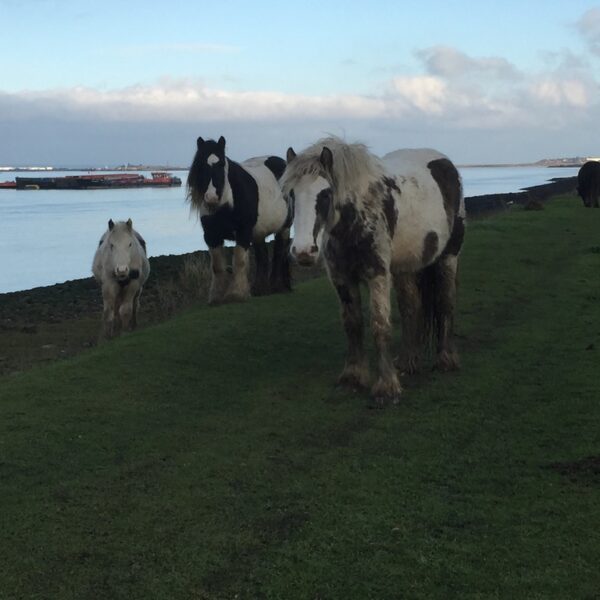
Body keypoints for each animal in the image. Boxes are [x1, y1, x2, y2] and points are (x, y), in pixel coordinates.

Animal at [186, 137, 292, 304]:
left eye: (221, 164)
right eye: (201, 164)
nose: (211, 197)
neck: (226, 203)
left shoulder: (243, 232)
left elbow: (239, 261)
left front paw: (236, 294)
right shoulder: (211, 236)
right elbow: (217, 266)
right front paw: (216, 296)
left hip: (284, 227)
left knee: (279, 253)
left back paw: (276, 286)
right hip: (258, 232)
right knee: (262, 257)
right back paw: (259, 289)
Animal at [284, 137, 466, 408]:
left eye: (325, 194)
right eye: (291, 194)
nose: (303, 251)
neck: (357, 215)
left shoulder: (377, 275)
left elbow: (380, 326)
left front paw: (387, 388)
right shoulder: (341, 279)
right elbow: (352, 324)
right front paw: (352, 377)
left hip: (448, 257)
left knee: (445, 302)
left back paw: (446, 360)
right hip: (405, 267)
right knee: (411, 307)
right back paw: (408, 362)